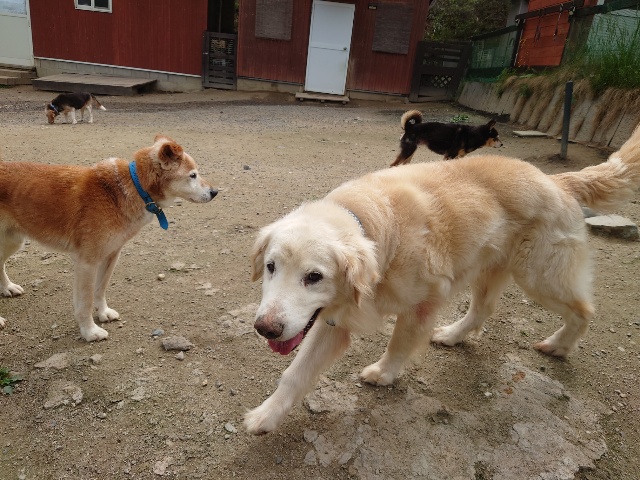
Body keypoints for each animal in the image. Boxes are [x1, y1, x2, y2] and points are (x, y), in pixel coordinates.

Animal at [0, 135, 217, 341]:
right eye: (193, 175)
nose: (215, 192)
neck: (132, 188)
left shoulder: (111, 255)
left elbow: (100, 289)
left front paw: (103, 313)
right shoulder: (86, 262)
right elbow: (85, 303)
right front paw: (89, 332)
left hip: (13, 242)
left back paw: (8, 288)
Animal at [244, 124, 640, 435]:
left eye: (314, 276)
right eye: (271, 267)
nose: (266, 329)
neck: (370, 227)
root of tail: (558, 180)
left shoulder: (422, 303)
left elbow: (399, 344)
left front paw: (384, 373)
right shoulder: (333, 321)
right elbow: (295, 374)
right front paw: (266, 415)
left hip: (540, 276)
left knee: (583, 309)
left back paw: (559, 345)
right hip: (490, 269)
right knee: (483, 310)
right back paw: (452, 335)